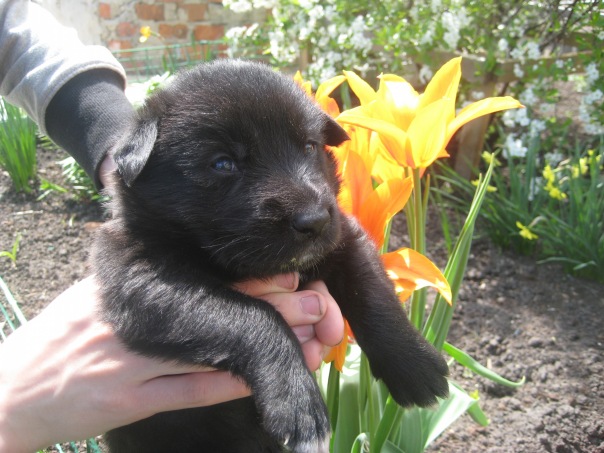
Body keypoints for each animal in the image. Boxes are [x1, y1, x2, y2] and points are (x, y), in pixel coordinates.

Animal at [92, 60, 449, 452]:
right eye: (222, 163)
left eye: (309, 146)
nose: (314, 220)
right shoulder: (142, 280)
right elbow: (251, 315)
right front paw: (299, 404)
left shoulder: (344, 237)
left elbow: (372, 291)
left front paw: (416, 367)